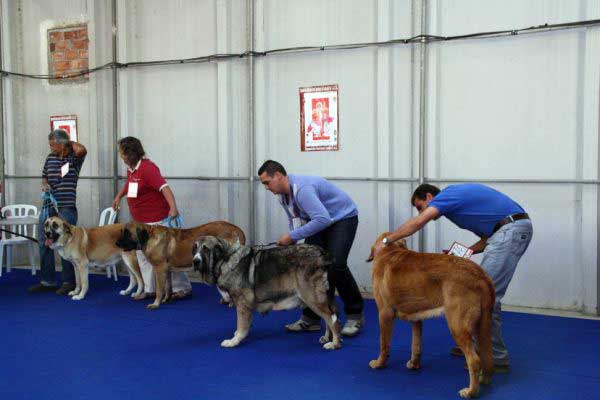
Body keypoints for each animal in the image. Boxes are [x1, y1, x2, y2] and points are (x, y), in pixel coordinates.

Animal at [115, 219, 246, 310]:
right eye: (122, 231)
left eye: (127, 233)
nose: (116, 243)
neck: (150, 236)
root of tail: (237, 229)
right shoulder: (166, 270)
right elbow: (168, 287)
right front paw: (166, 300)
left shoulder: (159, 268)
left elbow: (159, 289)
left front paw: (155, 304)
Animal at [193, 236, 342, 348]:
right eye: (194, 248)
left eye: (206, 249)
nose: (195, 261)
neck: (226, 259)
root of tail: (322, 254)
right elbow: (244, 325)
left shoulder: (242, 304)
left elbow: (241, 325)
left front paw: (234, 341)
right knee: (329, 318)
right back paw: (327, 338)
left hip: (313, 298)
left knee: (333, 320)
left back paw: (334, 344)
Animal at [368, 233, 494, 398]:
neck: (391, 251)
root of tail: (480, 275)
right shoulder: (416, 319)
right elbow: (416, 345)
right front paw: (414, 364)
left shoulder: (384, 313)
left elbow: (384, 345)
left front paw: (379, 363)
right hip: (482, 327)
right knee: (487, 356)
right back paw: (484, 380)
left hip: (457, 326)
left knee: (474, 360)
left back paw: (470, 391)